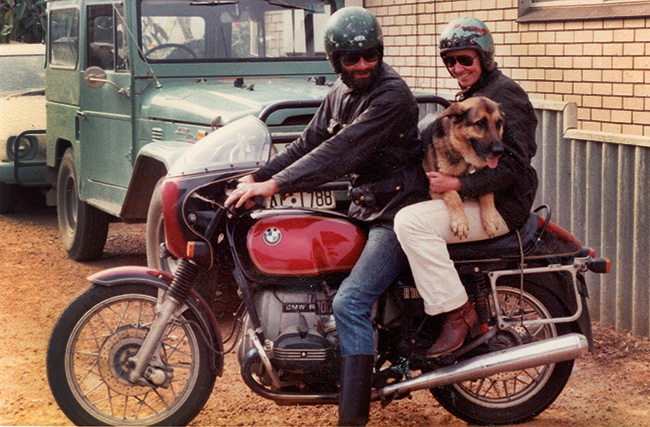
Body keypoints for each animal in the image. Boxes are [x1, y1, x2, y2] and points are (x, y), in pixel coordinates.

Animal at [420, 95, 506, 239]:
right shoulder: (435, 187)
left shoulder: (484, 179)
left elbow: (487, 192)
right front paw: (460, 222)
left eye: (499, 123)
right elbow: (453, 195)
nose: (499, 151)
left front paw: (490, 218)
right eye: (480, 123)